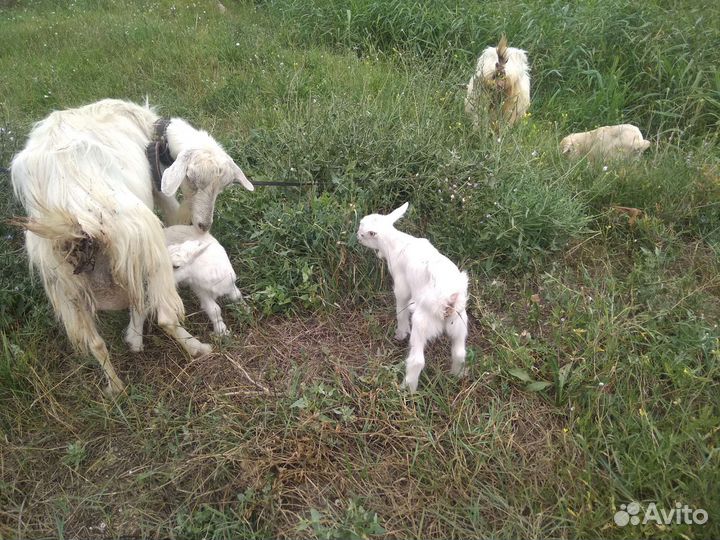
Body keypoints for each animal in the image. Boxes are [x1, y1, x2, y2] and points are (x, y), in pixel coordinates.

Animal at [10, 98, 254, 395]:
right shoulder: (159, 189)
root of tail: (73, 218)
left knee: (96, 342)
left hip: (63, 284)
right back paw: (197, 348)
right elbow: (173, 215)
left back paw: (116, 388)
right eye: (192, 180)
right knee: (164, 316)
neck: (152, 132)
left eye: (222, 187)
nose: (203, 225)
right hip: (145, 246)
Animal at [357, 202, 469, 393]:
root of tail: (449, 300)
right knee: (460, 353)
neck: (396, 242)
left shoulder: (401, 286)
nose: (357, 236)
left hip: (422, 323)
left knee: (417, 360)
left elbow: (401, 310)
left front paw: (400, 333)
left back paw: (406, 389)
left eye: (363, 232)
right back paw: (456, 376)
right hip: (459, 323)